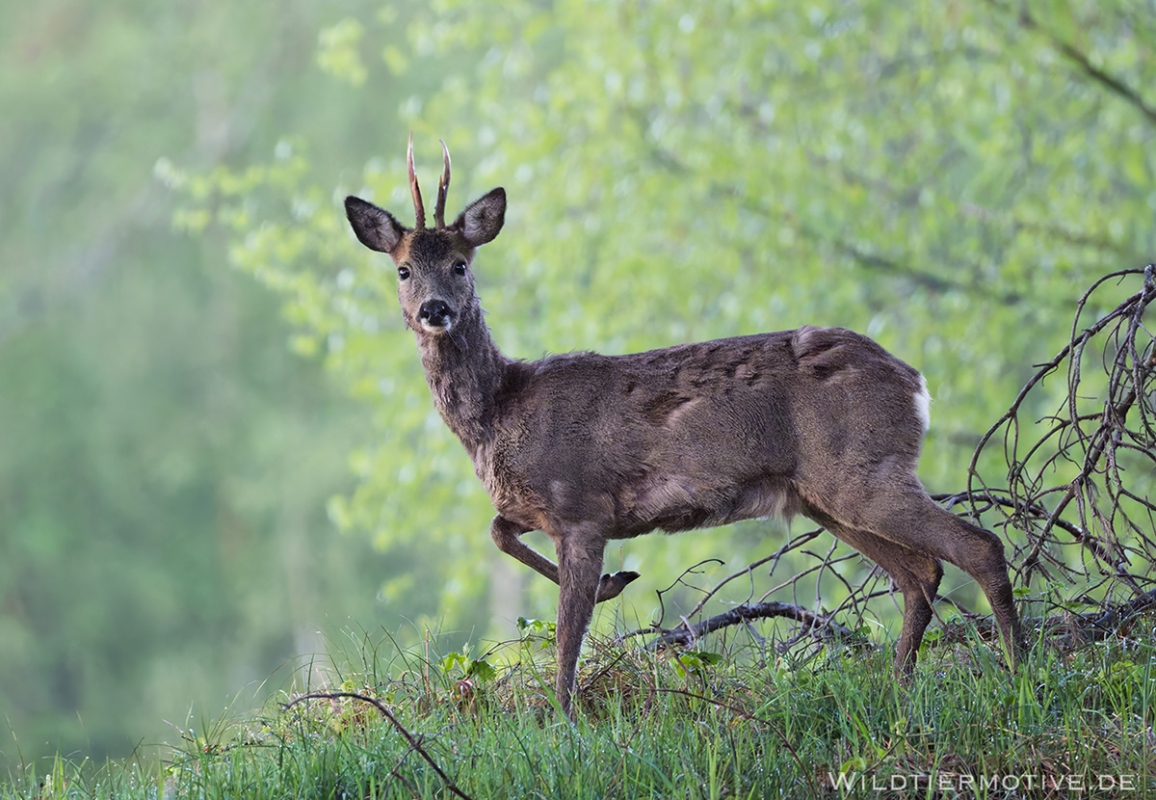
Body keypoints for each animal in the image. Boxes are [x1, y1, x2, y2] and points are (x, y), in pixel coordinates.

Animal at [344, 136, 1023, 717]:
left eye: (461, 264)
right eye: (404, 270)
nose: (435, 310)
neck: (498, 414)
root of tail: (915, 382)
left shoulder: (581, 506)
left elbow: (567, 632)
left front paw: (564, 717)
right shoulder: (533, 508)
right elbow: (496, 531)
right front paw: (616, 584)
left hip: (863, 470)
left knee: (978, 546)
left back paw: (1021, 673)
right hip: (822, 494)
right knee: (920, 573)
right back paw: (900, 685)